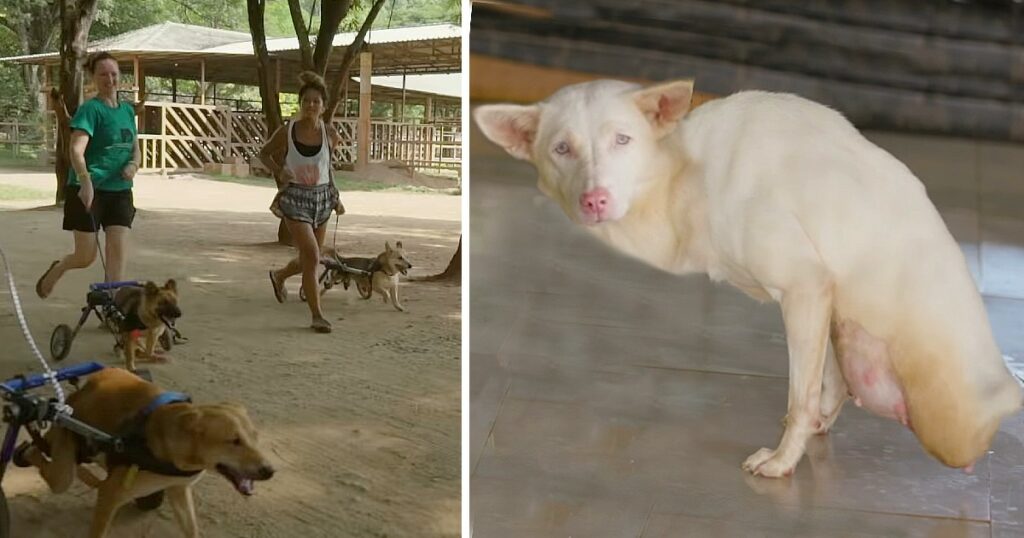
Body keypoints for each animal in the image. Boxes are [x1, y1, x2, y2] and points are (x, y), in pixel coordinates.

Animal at [20, 366, 276, 532]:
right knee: (41, 456)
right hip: (62, 472)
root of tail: (75, 395)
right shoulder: (110, 496)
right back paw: (25, 450)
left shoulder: (179, 491)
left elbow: (191, 529)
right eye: (234, 441)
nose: (270, 471)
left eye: (255, 436)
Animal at [475, 78, 1019, 473]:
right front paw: (810, 427)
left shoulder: (805, 286)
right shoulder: (821, 300)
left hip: (946, 427)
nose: (595, 201)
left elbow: (801, 395)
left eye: (622, 140)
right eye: (561, 149)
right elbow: (821, 385)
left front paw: (782, 461)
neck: (682, 175)